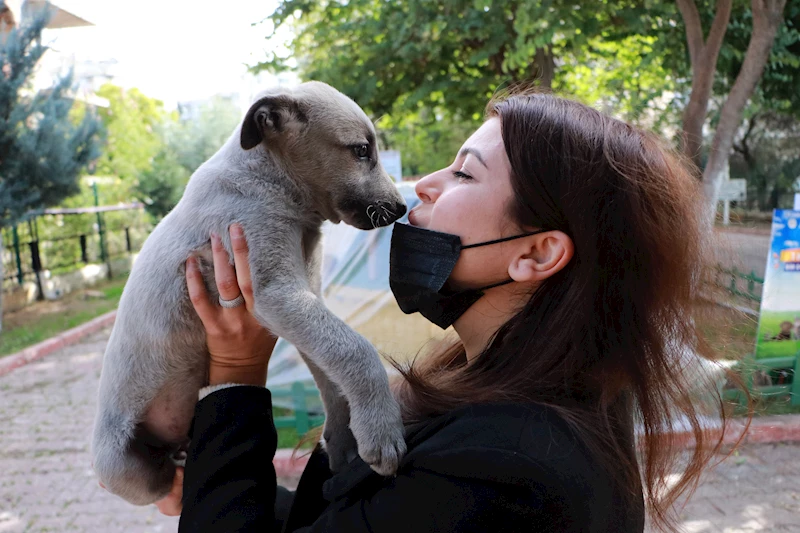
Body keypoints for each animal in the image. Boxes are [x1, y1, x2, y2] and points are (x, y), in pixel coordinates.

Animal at [91, 82, 410, 502]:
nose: (401, 207)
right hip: (124, 471)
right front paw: (381, 429)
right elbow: (356, 350)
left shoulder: (305, 298)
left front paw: (343, 442)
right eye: (360, 150)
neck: (269, 183)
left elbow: (331, 370)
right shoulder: (276, 293)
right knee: (169, 483)